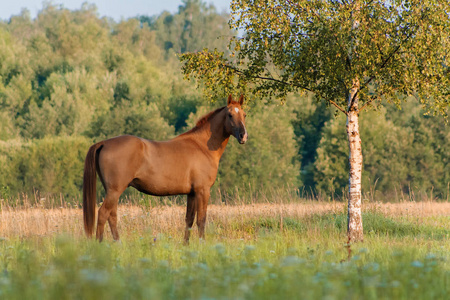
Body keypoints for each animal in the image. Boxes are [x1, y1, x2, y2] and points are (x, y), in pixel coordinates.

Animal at [82, 95, 248, 243]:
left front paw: (186, 245)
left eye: (244, 114)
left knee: (112, 216)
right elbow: (201, 220)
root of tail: (104, 143)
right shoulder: (202, 191)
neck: (201, 146)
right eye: (230, 114)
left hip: (112, 191)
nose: (243, 136)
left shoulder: (191, 193)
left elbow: (189, 220)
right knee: (103, 214)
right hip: (115, 191)